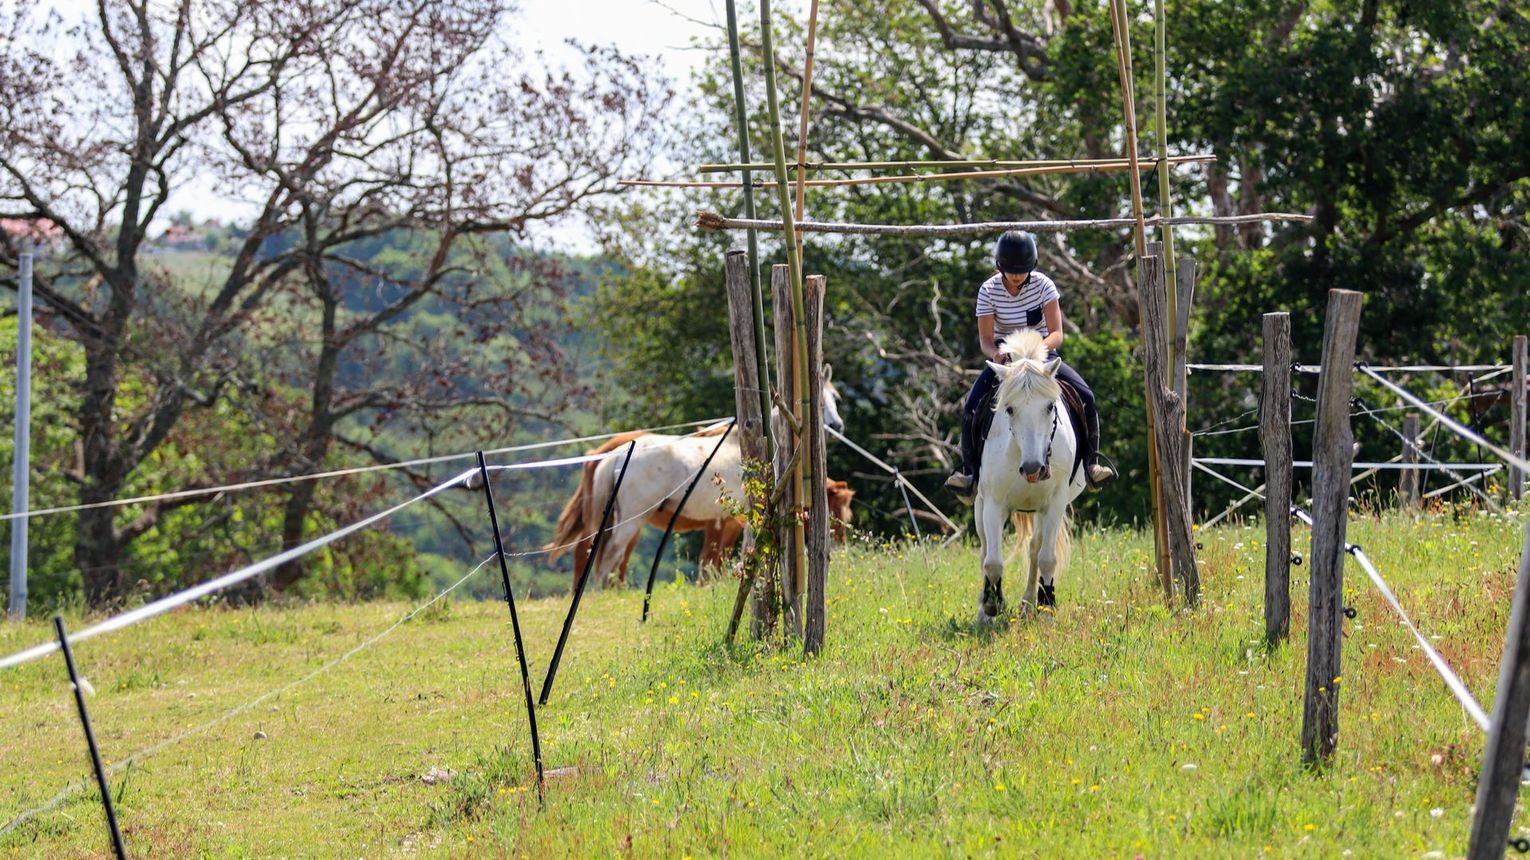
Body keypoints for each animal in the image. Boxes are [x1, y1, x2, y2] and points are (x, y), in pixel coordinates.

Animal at [544, 374, 850, 587]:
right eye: (821, 400)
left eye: (836, 398)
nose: (837, 426)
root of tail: (616, 454)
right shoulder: (734, 520)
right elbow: (724, 559)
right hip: (631, 520)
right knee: (608, 556)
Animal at [973, 329, 1083, 621]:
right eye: (1010, 409)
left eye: (1050, 407)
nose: (1034, 469)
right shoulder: (993, 503)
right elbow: (993, 561)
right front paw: (993, 605)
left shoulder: (1056, 502)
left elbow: (1046, 557)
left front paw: (1047, 607)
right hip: (980, 505)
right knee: (985, 549)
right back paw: (984, 609)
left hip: (1042, 511)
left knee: (1035, 548)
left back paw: (1028, 604)